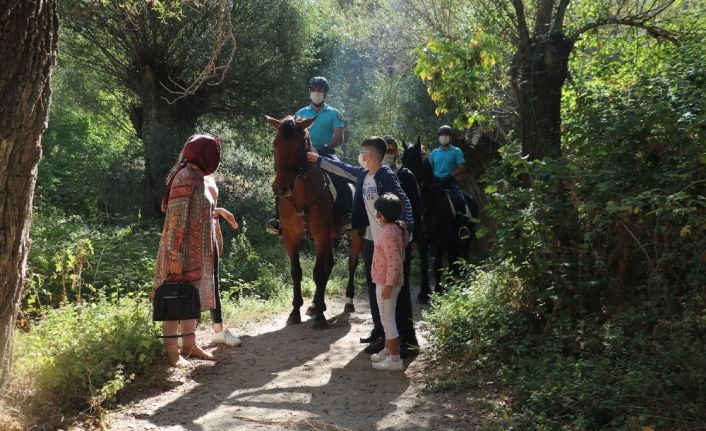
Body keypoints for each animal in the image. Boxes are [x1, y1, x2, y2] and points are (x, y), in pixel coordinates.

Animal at [266, 116, 350, 330]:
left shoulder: (322, 236)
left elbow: (318, 272)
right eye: (275, 144)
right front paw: (295, 312)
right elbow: (296, 272)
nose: (281, 188)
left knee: (350, 266)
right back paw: (315, 305)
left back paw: (348, 303)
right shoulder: (290, 237)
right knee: (329, 265)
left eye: (299, 146)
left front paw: (320, 318)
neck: (302, 193)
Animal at [398, 139, 476, 300]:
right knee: (453, 258)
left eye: (420, 158)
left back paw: (463, 284)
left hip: (465, 236)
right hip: (452, 238)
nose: (404, 178)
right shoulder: (422, 239)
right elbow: (424, 265)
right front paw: (424, 293)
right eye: (403, 159)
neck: (428, 202)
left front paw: (438, 290)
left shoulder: (439, 237)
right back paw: (452, 284)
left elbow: (437, 264)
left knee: (464, 256)